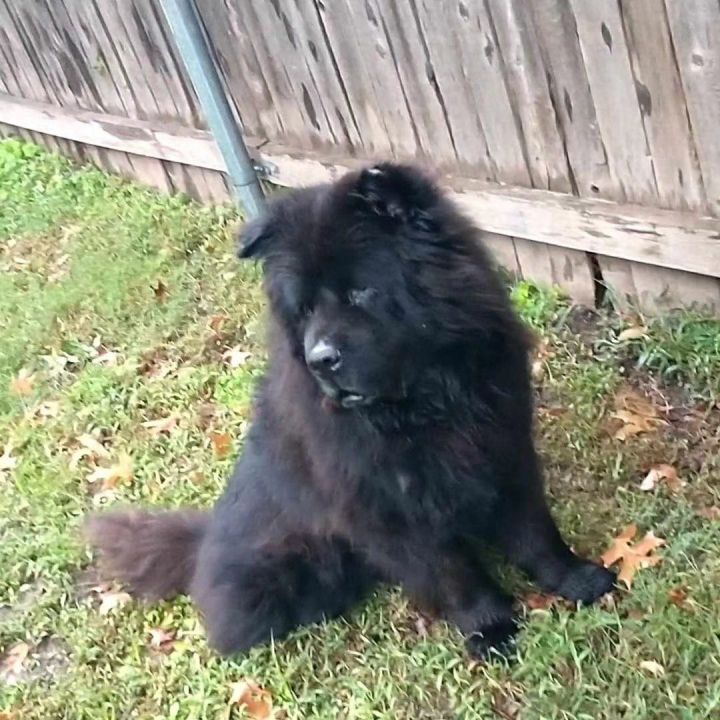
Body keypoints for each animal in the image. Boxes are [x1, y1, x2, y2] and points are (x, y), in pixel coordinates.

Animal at [84, 165, 612, 660]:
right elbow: (455, 573)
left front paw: (577, 579)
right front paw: (492, 628)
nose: (320, 359)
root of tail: (203, 541)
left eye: (361, 292)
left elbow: (535, 534)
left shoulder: (504, 452)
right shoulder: (390, 512)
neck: (425, 404)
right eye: (306, 309)